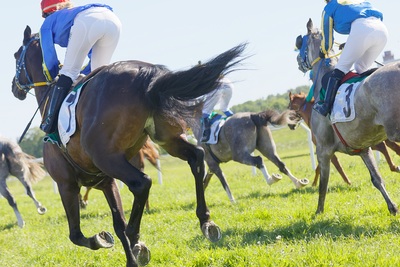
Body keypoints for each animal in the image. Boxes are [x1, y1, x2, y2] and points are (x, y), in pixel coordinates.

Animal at [10, 25, 245, 267]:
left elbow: (76, 234)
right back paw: (206, 221)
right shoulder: (106, 182)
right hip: (166, 139)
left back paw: (137, 238)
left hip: (108, 157)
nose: (14, 88)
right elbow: (117, 224)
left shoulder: (67, 184)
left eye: (16, 56)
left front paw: (104, 241)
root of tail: (147, 76)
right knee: (196, 157)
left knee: (142, 183)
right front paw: (129, 254)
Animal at [296, 18, 398, 216]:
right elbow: (377, 178)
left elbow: (323, 183)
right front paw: (392, 207)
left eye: (299, 42)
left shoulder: (323, 150)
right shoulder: (364, 148)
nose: (298, 61)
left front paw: (318, 212)